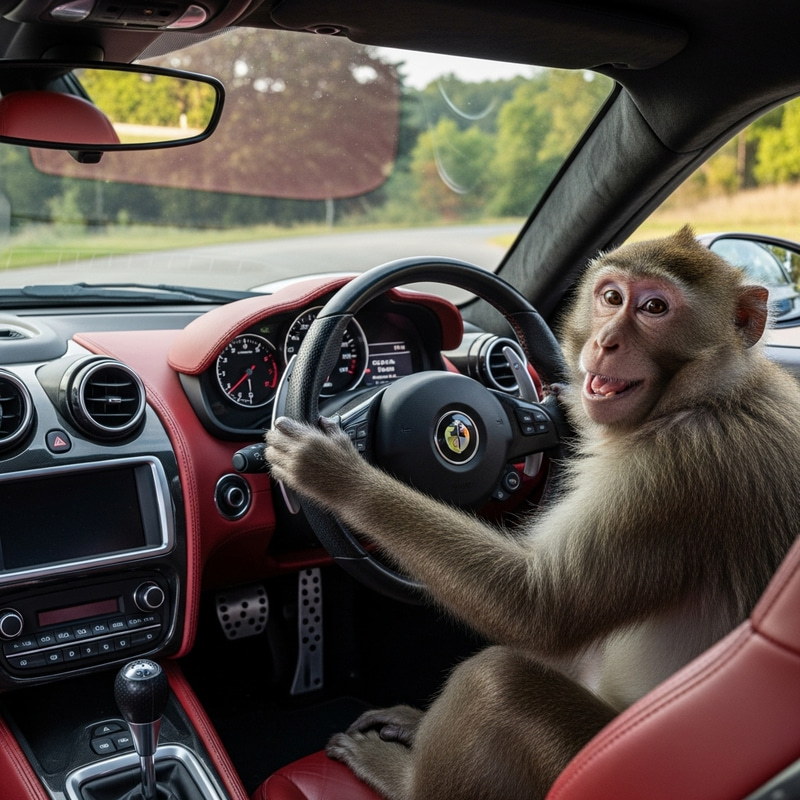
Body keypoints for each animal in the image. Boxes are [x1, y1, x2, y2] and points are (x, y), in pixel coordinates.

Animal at [265, 225, 800, 799]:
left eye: (655, 307)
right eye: (611, 297)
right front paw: (555, 403)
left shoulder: (675, 473)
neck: (705, 395)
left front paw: (335, 474)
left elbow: (536, 605)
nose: (604, 342)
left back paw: (397, 776)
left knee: (499, 681)